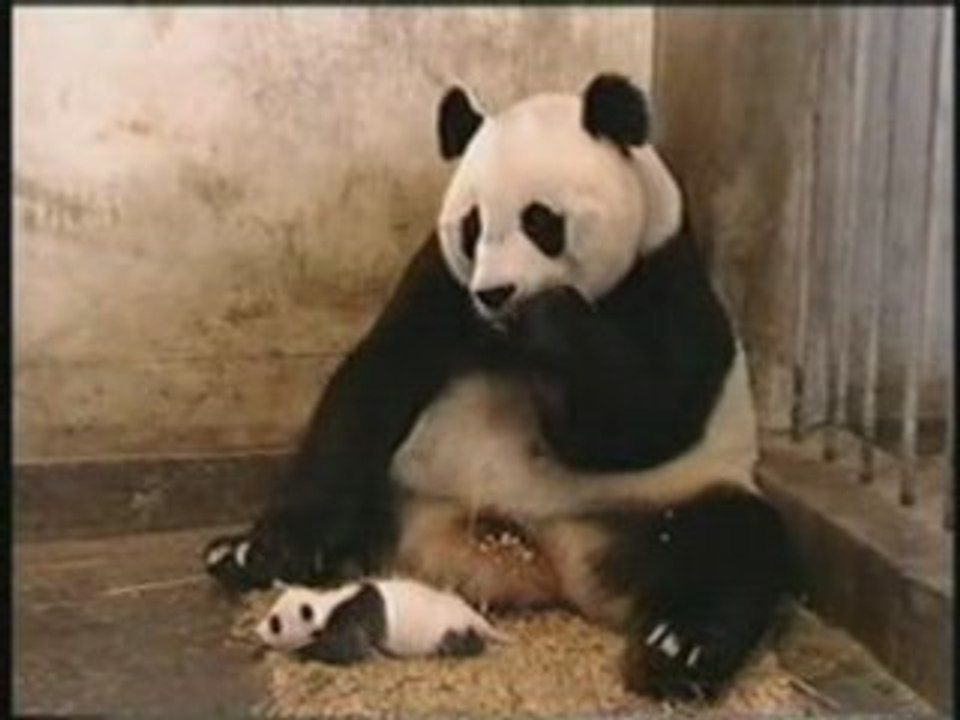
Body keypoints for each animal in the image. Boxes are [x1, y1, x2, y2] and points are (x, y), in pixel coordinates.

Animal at [204, 73, 797, 701]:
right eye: (472, 227)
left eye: (542, 221)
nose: (496, 293)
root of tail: (541, 561)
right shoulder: (441, 282)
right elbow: (376, 379)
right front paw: (269, 546)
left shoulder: (666, 276)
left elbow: (642, 421)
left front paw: (550, 324)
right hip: (405, 487)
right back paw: (244, 556)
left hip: (660, 503)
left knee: (736, 544)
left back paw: (676, 649)